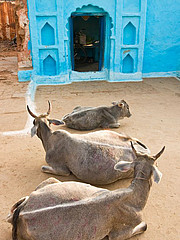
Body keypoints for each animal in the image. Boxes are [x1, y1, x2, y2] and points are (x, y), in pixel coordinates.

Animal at [7, 142, 165, 240]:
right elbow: (144, 226)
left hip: (50, 181)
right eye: (156, 163)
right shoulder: (118, 234)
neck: (132, 195)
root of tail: (21, 213)